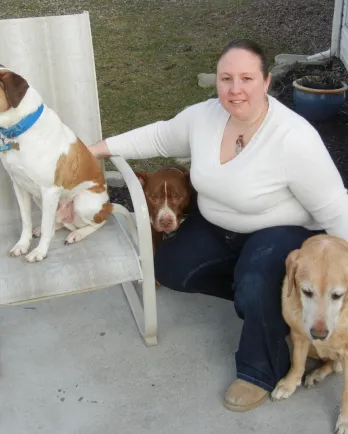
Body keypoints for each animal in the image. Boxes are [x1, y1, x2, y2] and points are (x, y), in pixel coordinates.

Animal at [0, 64, 131, 262]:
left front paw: (39, 252)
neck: (19, 132)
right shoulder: (20, 186)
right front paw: (22, 245)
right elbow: (26, 221)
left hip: (82, 201)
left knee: (98, 222)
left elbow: (46, 226)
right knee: (57, 221)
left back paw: (77, 234)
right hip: (41, 199)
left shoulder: (50, 190)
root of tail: (107, 206)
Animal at [270, 234, 348, 434]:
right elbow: (297, 363)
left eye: (337, 295)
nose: (319, 335)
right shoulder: (298, 335)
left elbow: (346, 392)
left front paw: (345, 421)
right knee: (331, 363)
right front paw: (289, 384)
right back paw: (317, 374)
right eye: (306, 291)